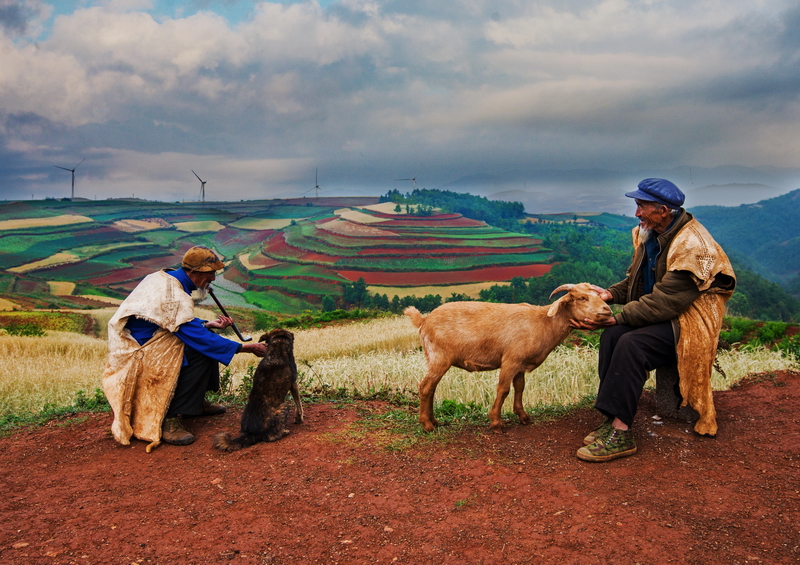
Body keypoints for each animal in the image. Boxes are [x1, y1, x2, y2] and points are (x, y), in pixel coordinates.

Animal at [406, 282, 612, 432]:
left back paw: (434, 421)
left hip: (433, 358)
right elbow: (503, 389)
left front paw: (523, 416)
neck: (543, 322)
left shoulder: (520, 363)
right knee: (425, 387)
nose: (607, 310)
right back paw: (427, 425)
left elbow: (520, 388)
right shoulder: (510, 360)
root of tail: (424, 320)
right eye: (581, 298)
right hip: (439, 358)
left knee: (431, 388)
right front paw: (496, 422)